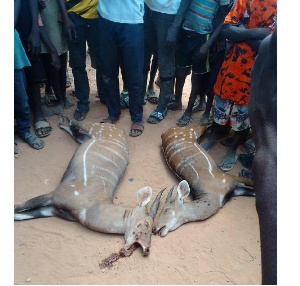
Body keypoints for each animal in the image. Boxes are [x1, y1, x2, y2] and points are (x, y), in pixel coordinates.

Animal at [13, 115, 164, 256]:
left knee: (73, 130)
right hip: (92, 127)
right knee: (76, 122)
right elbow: (19, 207)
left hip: (84, 138)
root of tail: (117, 128)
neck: (88, 207)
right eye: (146, 224)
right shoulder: (54, 195)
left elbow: (22, 215)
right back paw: (62, 117)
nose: (147, 249)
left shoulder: (52, 210)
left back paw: (60, 121)